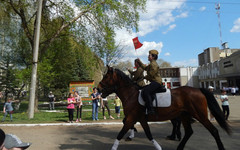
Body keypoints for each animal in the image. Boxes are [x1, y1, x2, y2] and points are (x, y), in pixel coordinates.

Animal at [97, 66, 231, 149]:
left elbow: (120, 133)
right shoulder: (140, 119)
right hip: (184, 115)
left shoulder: (132, 118)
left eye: (106, 77)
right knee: (188, 132)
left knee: (214, 131)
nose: (98, 89)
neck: (131, 94)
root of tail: (198, 90)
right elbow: (148, 134)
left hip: (200, 115)